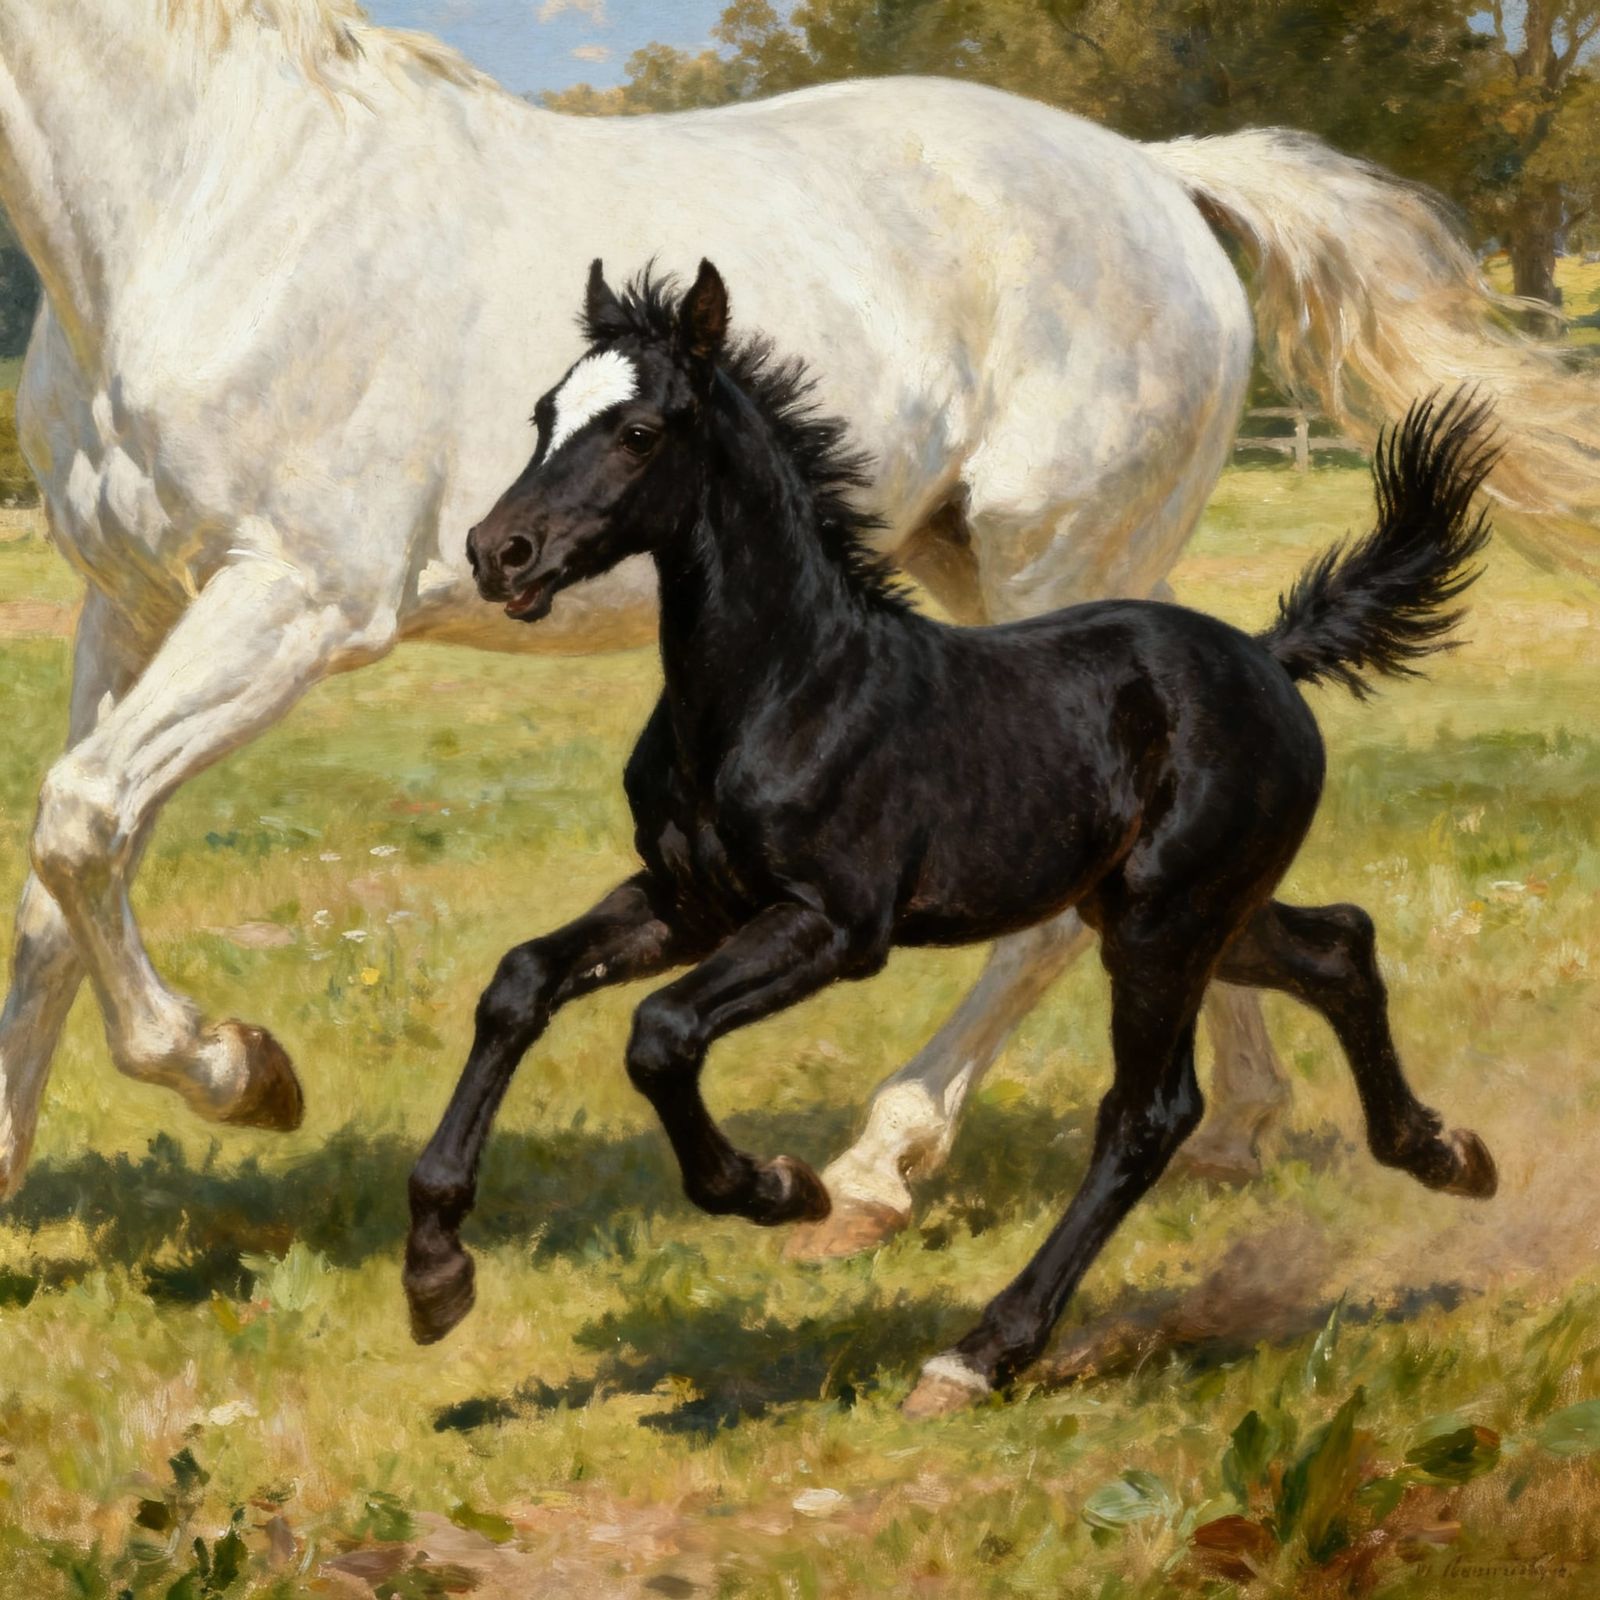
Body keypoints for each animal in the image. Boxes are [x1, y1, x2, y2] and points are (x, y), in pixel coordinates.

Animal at [2, 2, 1595, 1245]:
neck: (213, 195)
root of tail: (1155, 174)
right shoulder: (131, 608)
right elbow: (56, 884)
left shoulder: (289, 599)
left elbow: (80, 821)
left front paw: (240, 1071)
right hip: (986, 578)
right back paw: (1241, 1131)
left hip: (1058, 562)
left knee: (1061, 914)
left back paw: (882, 1166)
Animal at [403, 262, 1500, 1411]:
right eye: (543, 415)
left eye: (640, 432)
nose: (497, 552)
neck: (784, 685)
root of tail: (1266, 655)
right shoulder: (686, 902)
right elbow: (520, 982)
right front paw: (435, 1275)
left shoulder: (833, 926)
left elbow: (661, 1033)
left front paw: (781, 1189)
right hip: (1188, 914)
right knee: (1339, 943)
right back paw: (1448, 1153)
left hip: (1166, 924)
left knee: (1149, 1114)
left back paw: (977, 1354)